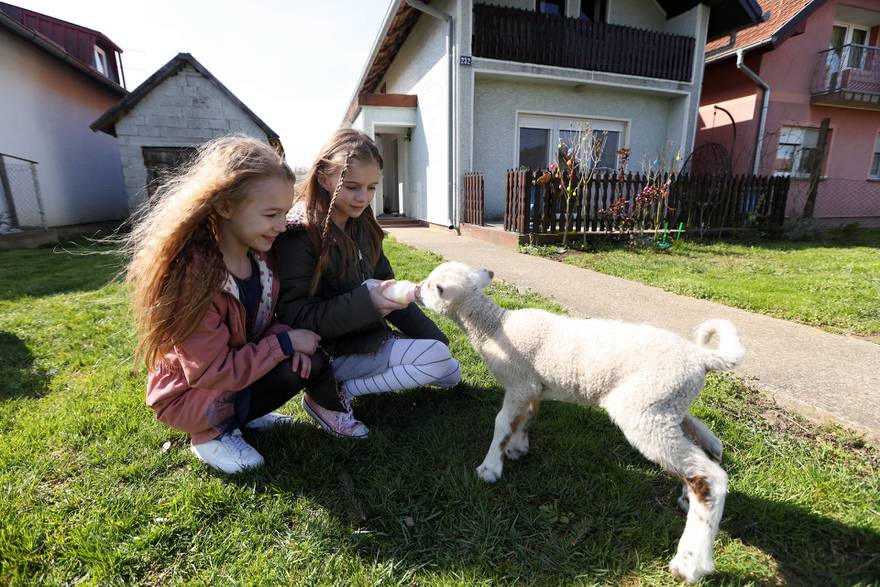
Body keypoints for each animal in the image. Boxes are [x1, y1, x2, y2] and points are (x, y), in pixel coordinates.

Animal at [418, 262, 744, 584]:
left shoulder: (519, 383)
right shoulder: (532, 386)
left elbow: (501, 424)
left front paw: (490, 468)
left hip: (646, 410)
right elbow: (525, 417)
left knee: (710, 477)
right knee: (707, 444)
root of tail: (701, 357)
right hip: (667, 403)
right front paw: (517, 448)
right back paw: (689, 494)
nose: (417, 290)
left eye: (432, 286)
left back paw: (690, 563)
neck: (495, 328)